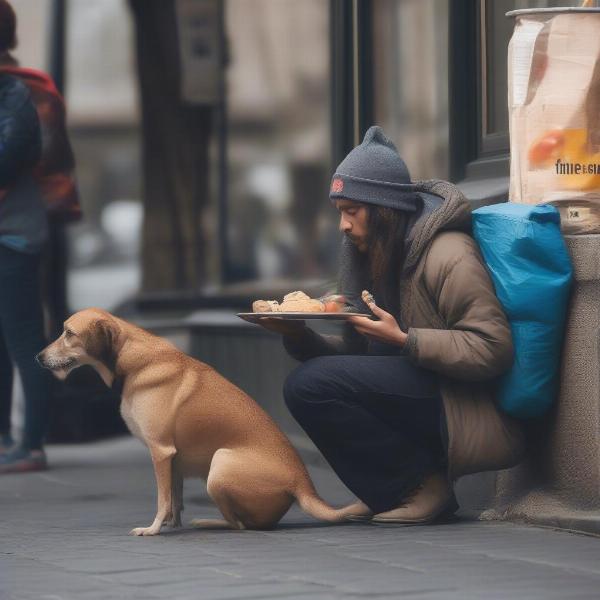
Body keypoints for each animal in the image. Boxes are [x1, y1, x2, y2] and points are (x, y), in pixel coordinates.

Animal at [38, 310, 370, 536]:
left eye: (68, 333)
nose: (38, 358)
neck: (133, 362)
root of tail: (302, 486)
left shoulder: (160, 452)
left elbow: (162, 499)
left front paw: (153, 529)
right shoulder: (173, 459)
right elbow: (174, 498)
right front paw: (172, 523)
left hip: (219, 466)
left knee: (241, 525)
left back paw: (209, 522)